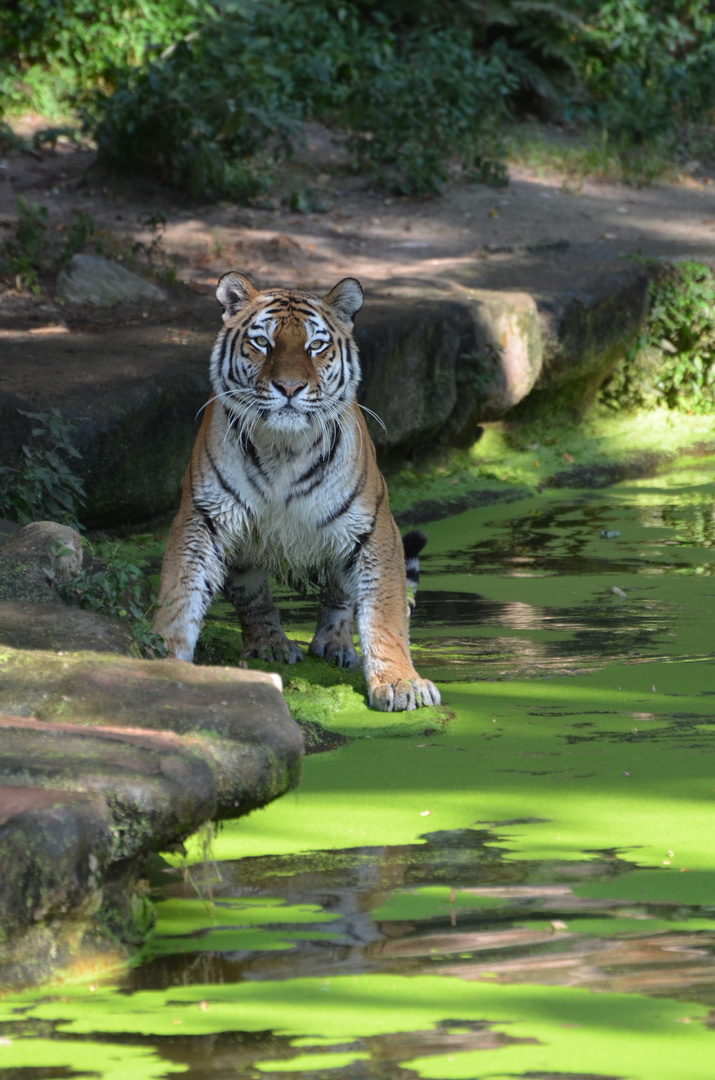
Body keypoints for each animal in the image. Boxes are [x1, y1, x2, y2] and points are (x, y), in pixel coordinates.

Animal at [154, 270, 440, 712]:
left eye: (315, 346)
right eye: (263, 343)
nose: (289, 387)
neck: (283, 451)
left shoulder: (374, 529)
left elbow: (386, 613)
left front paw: (400, 683)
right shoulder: (202, 517)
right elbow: (179, 593)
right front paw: (163, 657)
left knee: (340, 599)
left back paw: (336, 646)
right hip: (244, 560)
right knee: (254, 600)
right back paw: (271, 645)